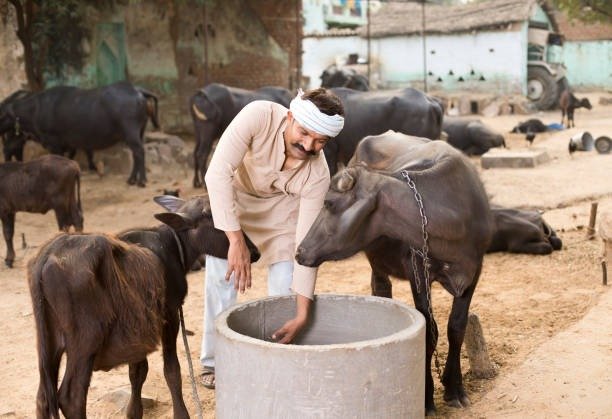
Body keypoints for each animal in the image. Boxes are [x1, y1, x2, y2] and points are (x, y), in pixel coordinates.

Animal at [0, 81, 159, 186]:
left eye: (1, 113)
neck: (35, 110)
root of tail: (137, 90)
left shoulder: (54, 144)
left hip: (131, 132)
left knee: (139, 152)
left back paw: (141, 181)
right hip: (140, 131)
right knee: (136, 154)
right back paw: (131, 180)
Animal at [28, 194, 260, 419]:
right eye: (217, 221)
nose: (254, 252)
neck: (173, 246)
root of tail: (47, 256)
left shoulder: (138, 327)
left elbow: (138, 371)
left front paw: (134, 412)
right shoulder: (169, 316)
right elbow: (171, 370)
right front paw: (181, 413)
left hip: (48, 342)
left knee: (43, 398)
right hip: (84, 341)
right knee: (72, 397)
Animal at [295, 131, 493, 415]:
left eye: (329, 202)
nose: (300, 251)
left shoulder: (474, 271)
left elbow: (457, 326)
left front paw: (455, 389)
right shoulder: (417, 269)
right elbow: (429, 331)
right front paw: (426, 399)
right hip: (375, 260)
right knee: (381, 289)